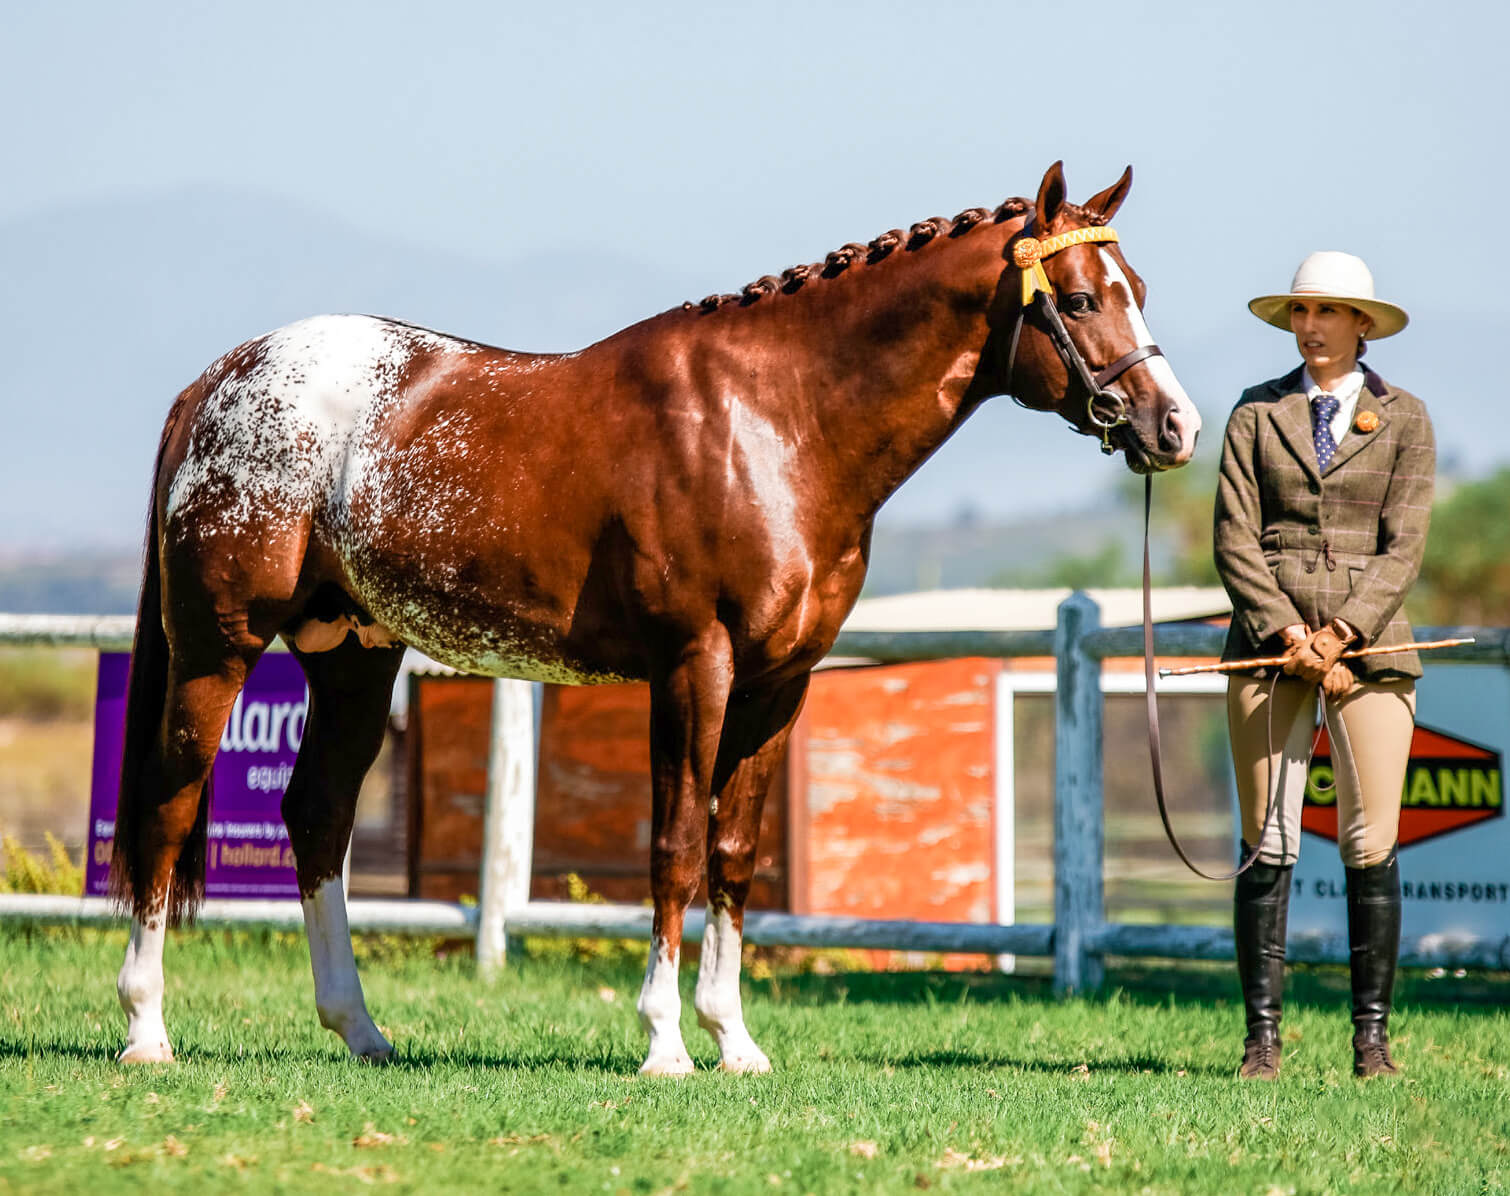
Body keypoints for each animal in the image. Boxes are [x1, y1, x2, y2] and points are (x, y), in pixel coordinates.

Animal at [110, 161, 1200, 1074]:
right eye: (1081, 298)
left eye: (1140, 288)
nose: (1174, 426)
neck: (774, 422)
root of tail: (220, 379)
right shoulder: (694, 666)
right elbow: (673, 846)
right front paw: (665, 1041)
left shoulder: (778, 682)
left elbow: (732, 853)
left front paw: (735, 1040)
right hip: (216, 650)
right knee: (169, 809)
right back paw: (146, 1030)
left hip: (353, 658)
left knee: (317, 817)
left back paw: (361, 1029)